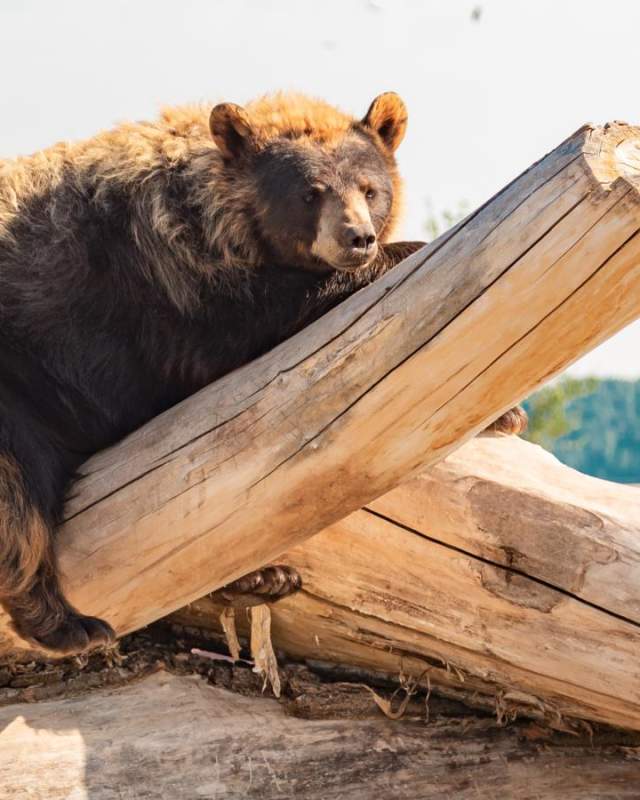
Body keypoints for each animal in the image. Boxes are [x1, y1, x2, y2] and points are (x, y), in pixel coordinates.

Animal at [0, 92, 524, 656]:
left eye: (370, 189)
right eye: (310, 193)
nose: (358, 238)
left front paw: (506, 414)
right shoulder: (171, 290)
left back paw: (262, 577)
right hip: (25, 384)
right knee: (18, 495)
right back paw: (68, 623)